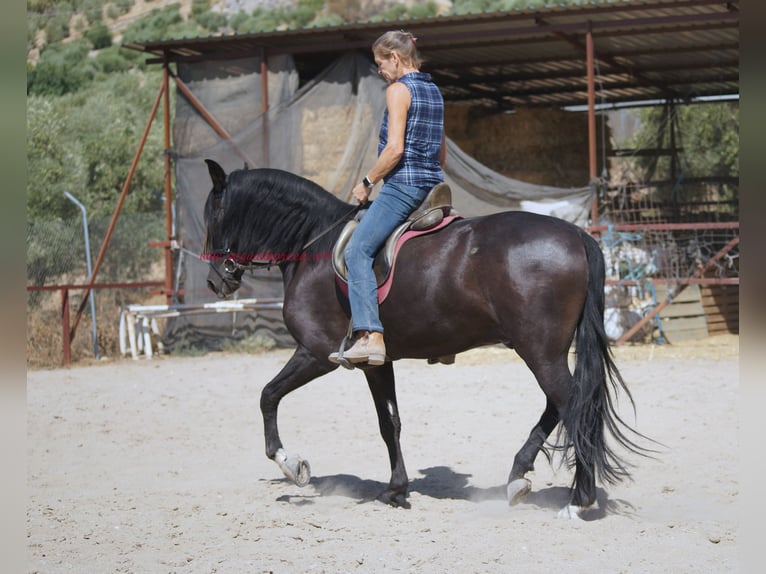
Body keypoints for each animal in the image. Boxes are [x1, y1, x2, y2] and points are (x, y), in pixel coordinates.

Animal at [202, 160, 648, 520]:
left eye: (213, 215)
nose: (215, 281)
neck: (316, 244)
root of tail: (576, 235)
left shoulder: (316, 353)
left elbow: (268, 395)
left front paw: (291, 464)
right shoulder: (377, 362)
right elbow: (390, 423)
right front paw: (397, 490)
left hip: (539, 351)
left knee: (574, 408)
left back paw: (577, 501)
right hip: (544, 351)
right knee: (560, 406)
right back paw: (519, 477)